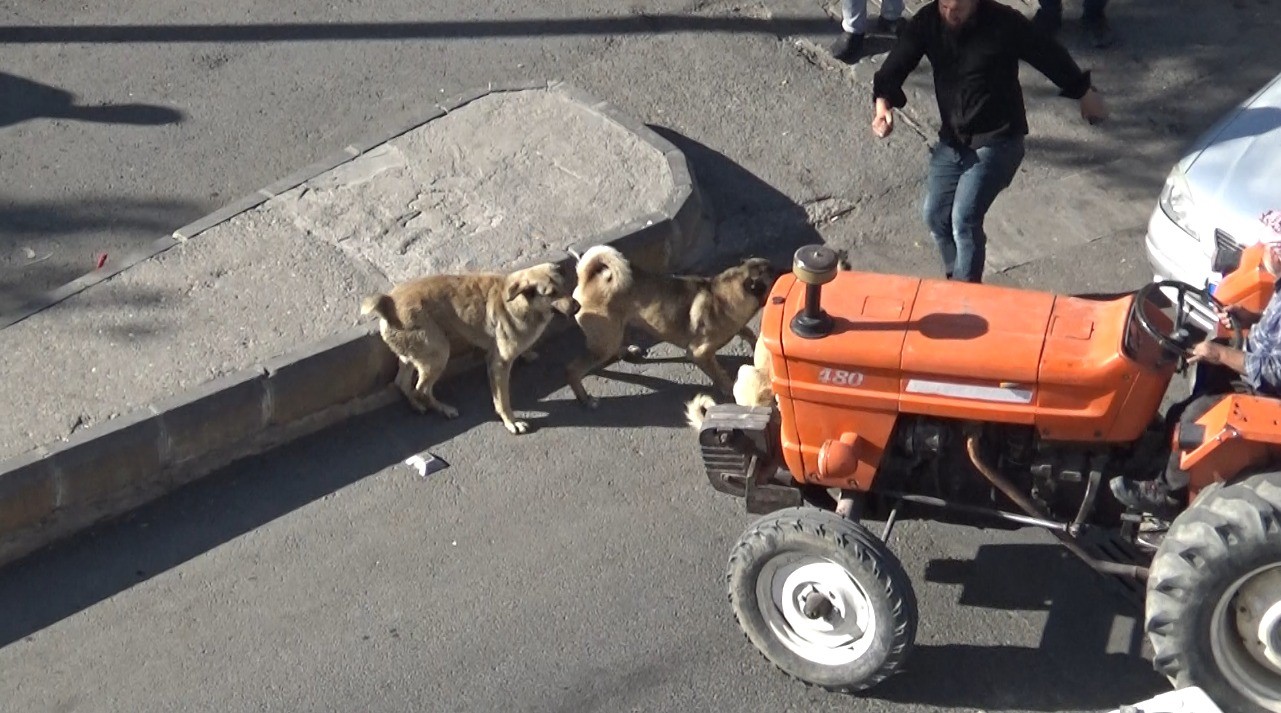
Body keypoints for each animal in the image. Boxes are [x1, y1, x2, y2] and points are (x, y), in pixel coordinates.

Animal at [363, 262, 579, 432]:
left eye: (564, 286)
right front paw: (511, 422)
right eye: (551, 294)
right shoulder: (498, 365)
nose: (577, 307)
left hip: (413, 355)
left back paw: (417, 405)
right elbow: (502, 400)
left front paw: (527, 354)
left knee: (401, 383)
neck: (519, 303)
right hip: (439, 354)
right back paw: (443, 408)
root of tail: (388, 303)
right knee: (421, 389)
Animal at [566, 243, 773, 407]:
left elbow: (749, 334)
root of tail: (586, 278)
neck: (721, 295)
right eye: (777, 275)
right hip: (604, 343)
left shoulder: (738, 326)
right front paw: (730, 388)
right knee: (574, 370)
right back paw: (585, 399)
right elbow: (719, 375)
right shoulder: (699, 354)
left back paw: (627, 351)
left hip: (615, 332)